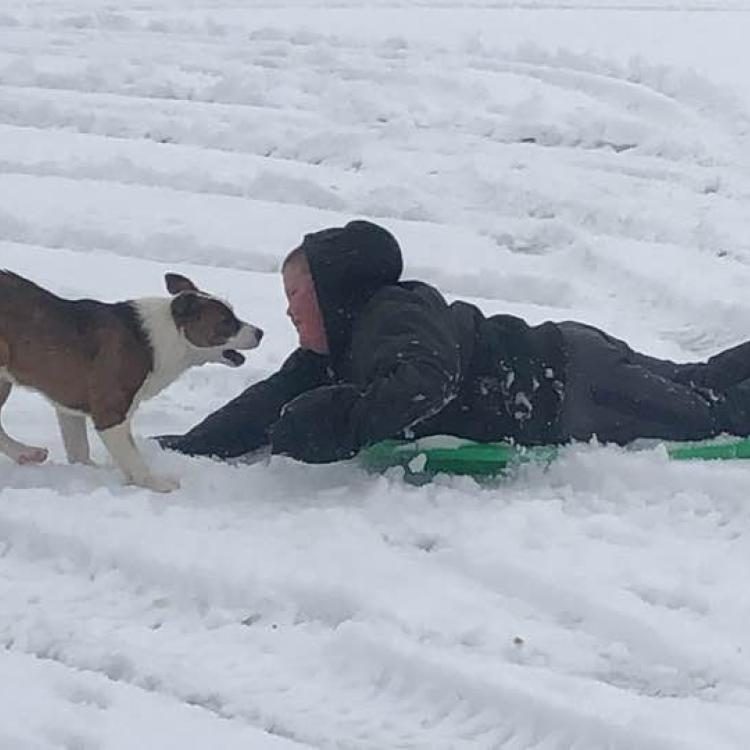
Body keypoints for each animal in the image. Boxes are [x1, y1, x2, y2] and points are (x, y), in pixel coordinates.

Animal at [0, 270, 264, 494]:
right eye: (226, 321)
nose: (260, 332)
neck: (165, 339)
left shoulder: (69, 405)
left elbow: (79, 449)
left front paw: (90, 471)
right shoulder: (110, 413)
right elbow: (134, 458)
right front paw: (156, 484)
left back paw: (26, 454)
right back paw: (26, 453)